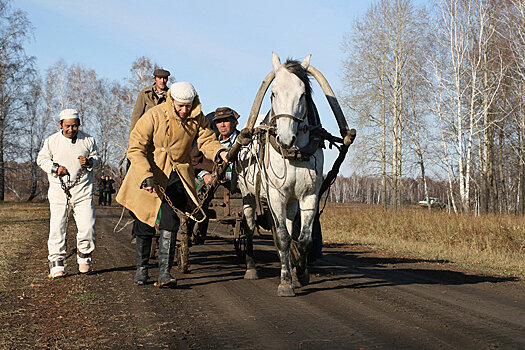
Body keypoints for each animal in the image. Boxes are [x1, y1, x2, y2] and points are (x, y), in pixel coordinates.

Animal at [238, 53, 324, 296]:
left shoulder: (309, 195)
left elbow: (303, 239)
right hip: (248, 195)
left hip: (291, 201)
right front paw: (285, 282)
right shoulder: (275, 194)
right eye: (273, 93)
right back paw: (251, 268)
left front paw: (301, 272)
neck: (293, 154)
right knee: (249, 228)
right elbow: (284, 237)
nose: (285, 139)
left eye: (303, 94)